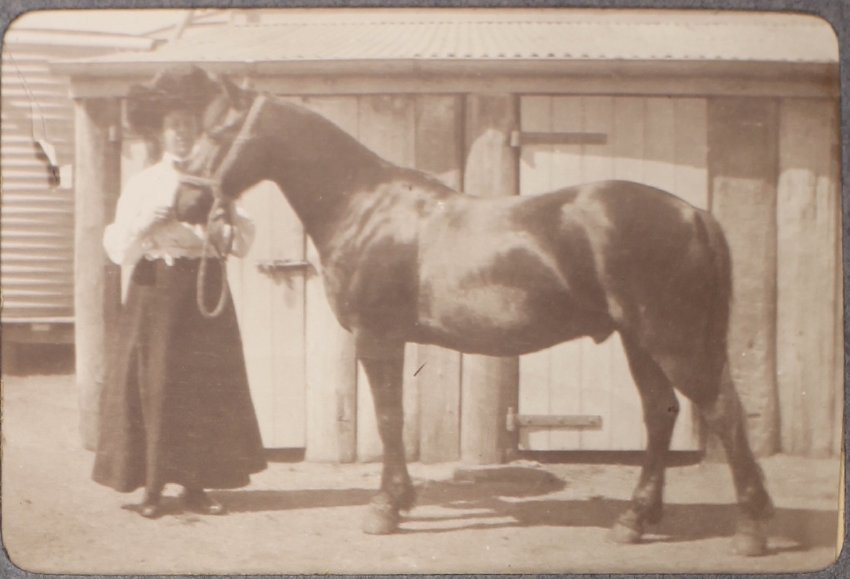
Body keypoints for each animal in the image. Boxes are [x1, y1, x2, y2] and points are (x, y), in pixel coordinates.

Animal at [168, 66, 774, 555]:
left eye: (219, 134)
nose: (182, 204)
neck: (366, 206)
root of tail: (693, 213)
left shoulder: (376, 335)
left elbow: (388, 419)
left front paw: (386, 510)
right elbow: (392, 418)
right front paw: (400, 502)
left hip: (671, 338)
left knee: (722, 411)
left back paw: (749, 531)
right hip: (638, 339)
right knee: (660, 413)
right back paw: (634, 520)